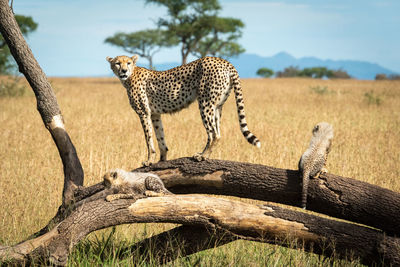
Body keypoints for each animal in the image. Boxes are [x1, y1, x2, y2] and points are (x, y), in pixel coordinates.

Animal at [106, 55, 260, 166]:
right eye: (117, 63)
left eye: (128, 63)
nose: (123, 71)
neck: (130, 77)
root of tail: (224, 61)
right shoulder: (155, 114)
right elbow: (160, 136)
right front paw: (162, 159)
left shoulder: (144, 112)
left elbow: (148, 138)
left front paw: (149, 160)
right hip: (217, 106)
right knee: (218, 132)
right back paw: (206, 155)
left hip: (205, 103)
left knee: (214, 134)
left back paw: (202, 156)